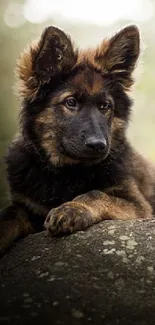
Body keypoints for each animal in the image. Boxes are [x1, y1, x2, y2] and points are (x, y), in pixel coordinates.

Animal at [0, 24, 155, 253]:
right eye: (71, 102)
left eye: (105, 106)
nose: (98, 145)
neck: (65, 173)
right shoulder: (29, 208)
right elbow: (9, 215)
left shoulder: (138, 205)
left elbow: (96, 194)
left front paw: (72, 208)